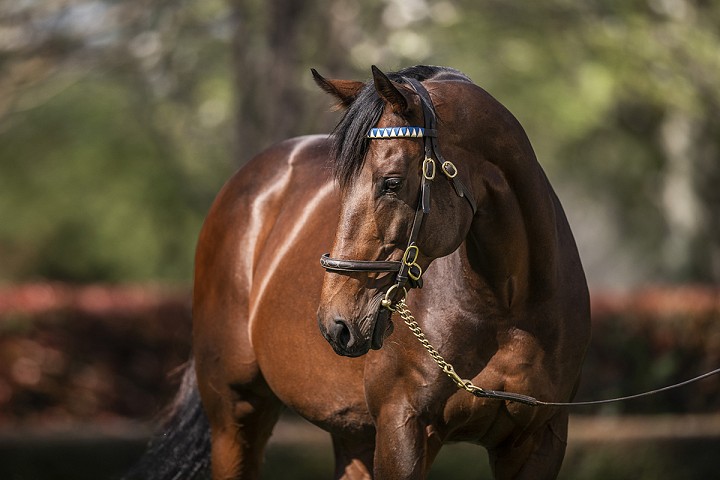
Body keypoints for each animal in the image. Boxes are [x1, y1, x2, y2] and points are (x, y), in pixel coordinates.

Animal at [126, 64, 592, 480]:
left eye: (391, 182)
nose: (336, 323)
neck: (506, 305)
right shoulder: (402, 430)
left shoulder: (539, 441)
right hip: (234, 416)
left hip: (350, 430)